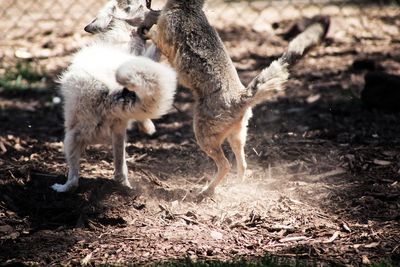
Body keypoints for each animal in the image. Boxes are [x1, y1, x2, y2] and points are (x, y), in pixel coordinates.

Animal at [51, 0, 177, 193]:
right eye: (138, 4)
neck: (122, 34)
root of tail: (107, 94)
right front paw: (148, 126)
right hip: (104, 135)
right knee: (106, 174)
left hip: (77, 138)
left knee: (79, 179)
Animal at [139, 0, 330, 199]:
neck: (187, 7)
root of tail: (240, 98)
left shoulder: (165, 39)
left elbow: (155, 35)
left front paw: (146, 30)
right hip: (237, 137)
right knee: (243, 165)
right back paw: (236, 187)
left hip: (203, 137)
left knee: (225, 165)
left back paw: (207, 191)